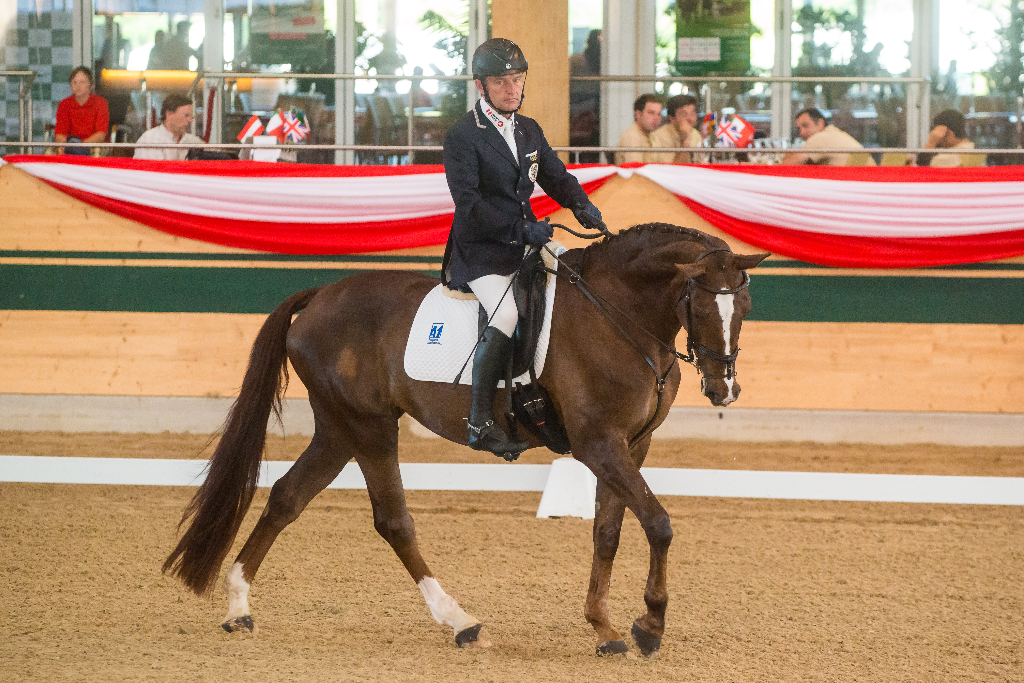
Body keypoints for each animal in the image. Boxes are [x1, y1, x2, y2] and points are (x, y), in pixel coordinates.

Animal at [161, 223, 770, 655]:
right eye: (698, 302)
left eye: (744, 307)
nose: (724, 389)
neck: (616, 314)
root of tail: (319, 295)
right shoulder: (599, 444)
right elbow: (658, 523)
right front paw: (649, 624)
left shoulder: (630, 444)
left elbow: (608, 531)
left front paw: (604, 628)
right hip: (369, 427)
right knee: (393, 520)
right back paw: (460, 622)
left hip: (338, 428)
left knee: (288, 497)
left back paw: (239, 607)